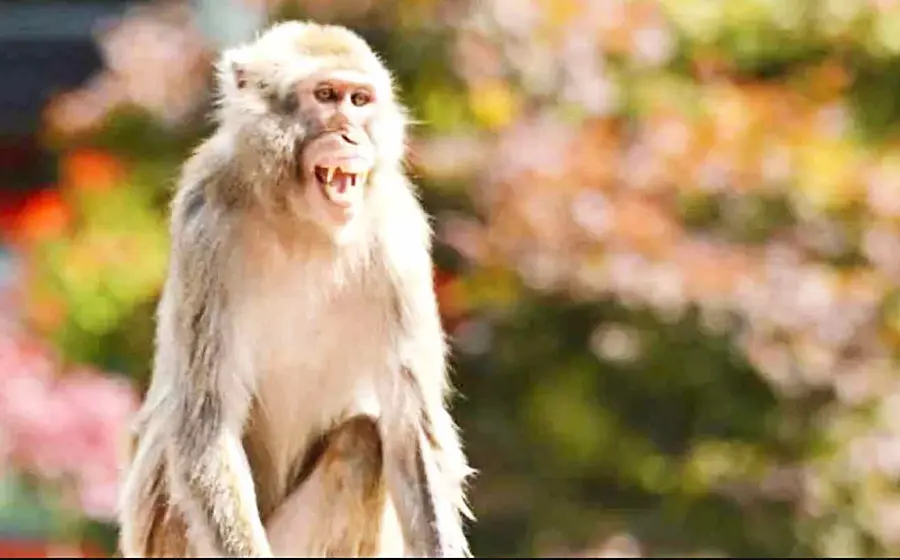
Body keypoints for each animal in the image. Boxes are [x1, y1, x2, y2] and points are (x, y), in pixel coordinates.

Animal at [116, 21, 474, 558]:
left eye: (359, 100)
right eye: (325, 96)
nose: (349, 133)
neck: (300, 222)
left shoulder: (399, 237)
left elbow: (410, 428)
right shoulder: (205, 226)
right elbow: (206, 427)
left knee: (363, 444)